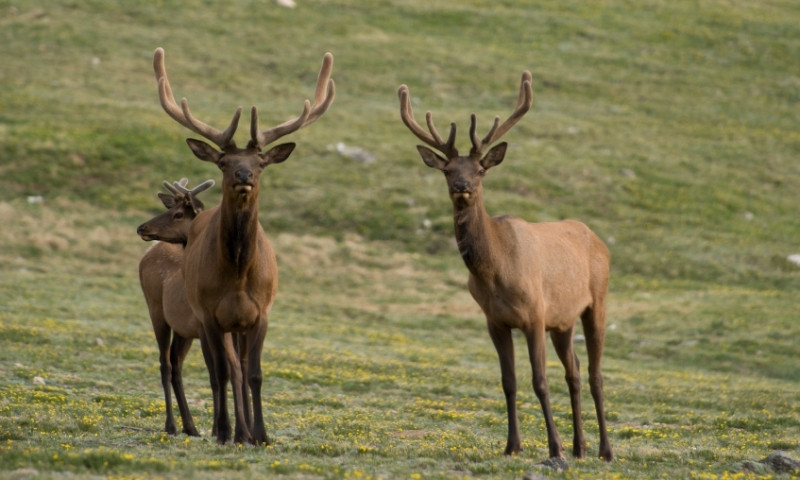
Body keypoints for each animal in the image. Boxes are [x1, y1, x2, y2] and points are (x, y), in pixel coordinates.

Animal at [137, 178, 217, 437]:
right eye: (170, 208)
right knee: (166, 364)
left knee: (176, 365)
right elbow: (216, 375)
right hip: (156, 311)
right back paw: (171, 425)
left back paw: (190, 426)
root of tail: (150, 250)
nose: (141, 228)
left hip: (183, 329)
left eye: (178, 213)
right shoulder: (205, 328)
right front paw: (219, 429)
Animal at [152, 47, 334, 445]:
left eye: (261, 161)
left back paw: (245, 431)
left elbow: (254, 374)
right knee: (202, 369)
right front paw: (223, 431)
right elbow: (220, 373)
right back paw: (219, 429)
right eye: (224, 161)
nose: (243, 175)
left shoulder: (261, 313)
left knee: (238, 370)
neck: (237, 274)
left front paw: (261, 434)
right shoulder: (208, 315)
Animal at [397, 72, 613, 463]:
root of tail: (599, 240)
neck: (494, 273)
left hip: (597, 303)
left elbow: (539, 382)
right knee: (573, 371)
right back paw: (581, 447)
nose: (462, 186)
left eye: (481, 169)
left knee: (595, 375)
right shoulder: (495, 321)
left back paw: (605, 450)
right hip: (563, 321)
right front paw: (512, 445)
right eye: (447, 170)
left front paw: (554, 448)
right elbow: (508, 382)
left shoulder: (535, 315)